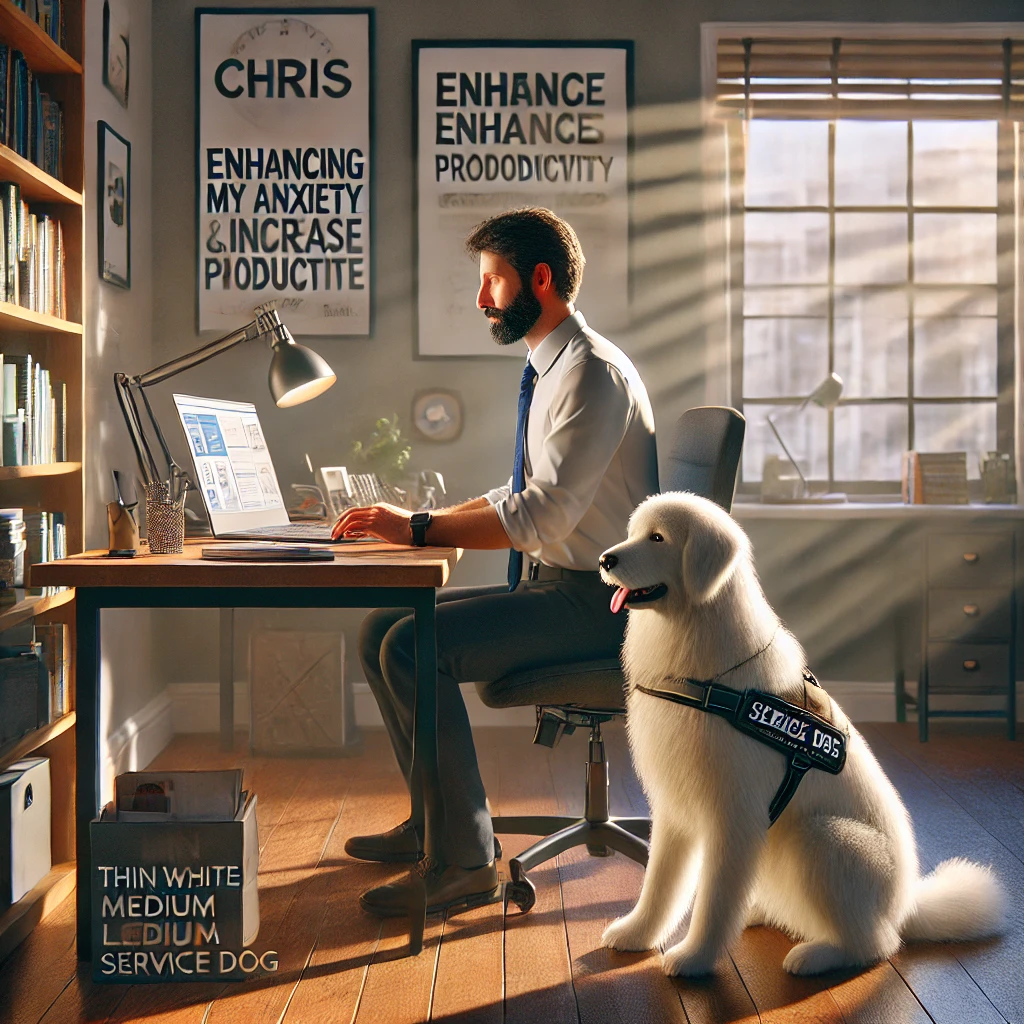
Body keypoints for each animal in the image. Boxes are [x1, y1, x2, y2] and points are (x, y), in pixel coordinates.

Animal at [598, 493, 1003, 974]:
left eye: (657, 538)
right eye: (633, 532)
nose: (604, 559)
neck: (709, 680)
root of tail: (906, 906)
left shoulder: (735, 816)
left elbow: (714, 899)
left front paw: (695, 958)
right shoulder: (674, 808)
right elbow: (660, 886)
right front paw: (636, 934)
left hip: (823, 838)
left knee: (877, 944)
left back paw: (816, 955)